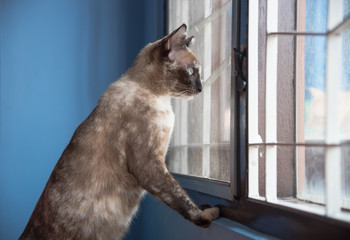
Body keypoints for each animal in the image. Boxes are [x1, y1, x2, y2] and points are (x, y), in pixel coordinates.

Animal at [19, 23, 219, 240]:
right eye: (191, 71)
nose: (200, 89)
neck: (162, 99)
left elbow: (181, 193)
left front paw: (204, 207)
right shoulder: (149, 164)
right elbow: (178, 195)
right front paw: (204, 215)